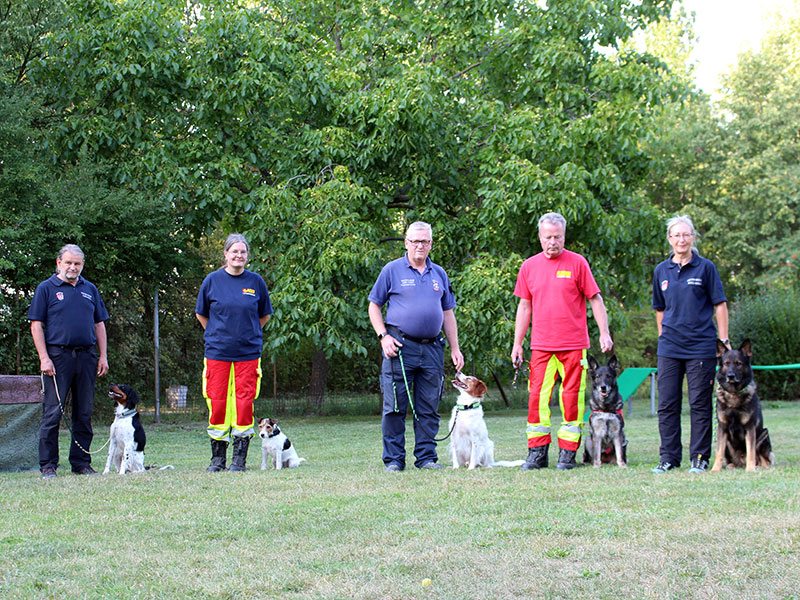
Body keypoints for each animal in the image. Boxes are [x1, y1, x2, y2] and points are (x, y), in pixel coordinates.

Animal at [716, 340, 772, 472]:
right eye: (726, 364)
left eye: (738, 364)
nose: (730, 376)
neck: (734, 394)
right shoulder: (722, 428)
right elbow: (718, 452)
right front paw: (715, 469)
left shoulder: (750, 428)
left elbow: (751, 452)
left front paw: (750, 470)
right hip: (728, 444)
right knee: (731, 460)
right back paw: (731, 466)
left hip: (763, 435)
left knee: (764, 459)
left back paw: (760, 467)